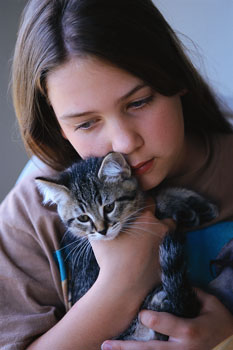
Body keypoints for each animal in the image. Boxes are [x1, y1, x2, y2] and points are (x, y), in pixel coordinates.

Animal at [35, 152, 218, 340]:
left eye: (109, 207)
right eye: (83, 218)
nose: (102, 231)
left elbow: (157, 195)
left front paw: (192, 202)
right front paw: (182, 206)